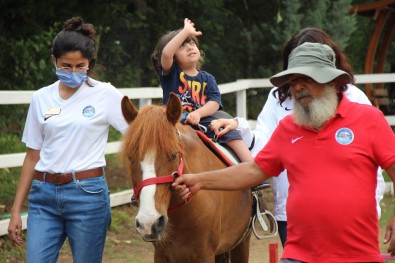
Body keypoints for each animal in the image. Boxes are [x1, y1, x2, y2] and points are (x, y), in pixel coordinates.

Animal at [119, 94, 254, 262]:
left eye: (173, 155)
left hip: (242, 242)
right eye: (131, 158)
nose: (149, 222)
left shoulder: (205, 255)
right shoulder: (161, 254)